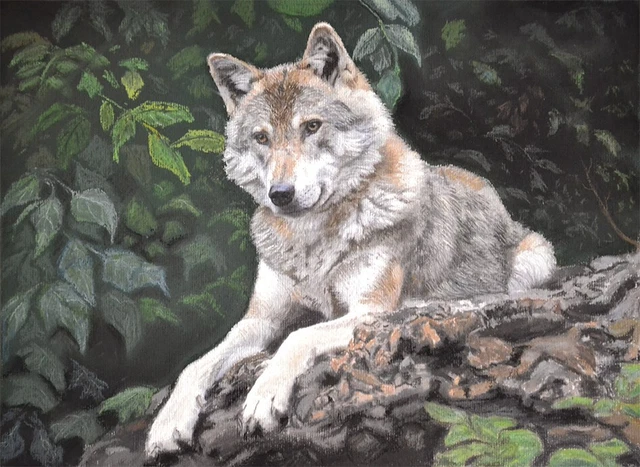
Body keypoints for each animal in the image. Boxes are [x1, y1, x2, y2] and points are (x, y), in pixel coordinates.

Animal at [145, 22, 556, 458]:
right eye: (261, 138)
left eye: (311, 126)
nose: (280, 194)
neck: (313, 241)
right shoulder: (260, 319)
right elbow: (197, 364)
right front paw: (167, 424)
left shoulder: (369, 312)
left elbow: (298, 336)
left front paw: (263, 397)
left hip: (536, 257)